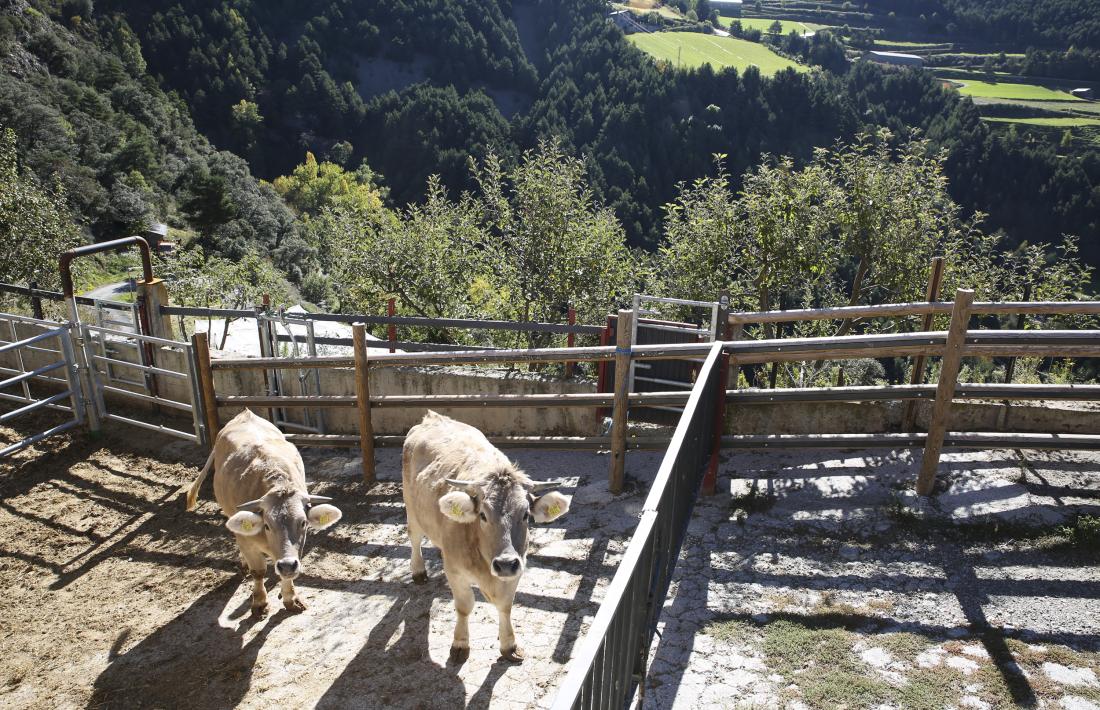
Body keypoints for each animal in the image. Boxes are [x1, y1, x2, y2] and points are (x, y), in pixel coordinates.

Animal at [184, 409, 341, 616]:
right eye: (267, 525)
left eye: (303, 523)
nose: (287, 565)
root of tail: (245, 413)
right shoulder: (247, 541)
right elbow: (258, 572)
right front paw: (259, 603)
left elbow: (285, 573)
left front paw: (291, 599)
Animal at [402, 407, 572, 660]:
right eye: (482, 515)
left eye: (525, 514)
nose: (505, 563)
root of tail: (432, 417)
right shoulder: (455, 571)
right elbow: (464, 606)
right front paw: (460, 644)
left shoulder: (517, 567)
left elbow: (505, 606)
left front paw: (509, 645)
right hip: (411, 507)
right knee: (414, 538)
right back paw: (419, 571)